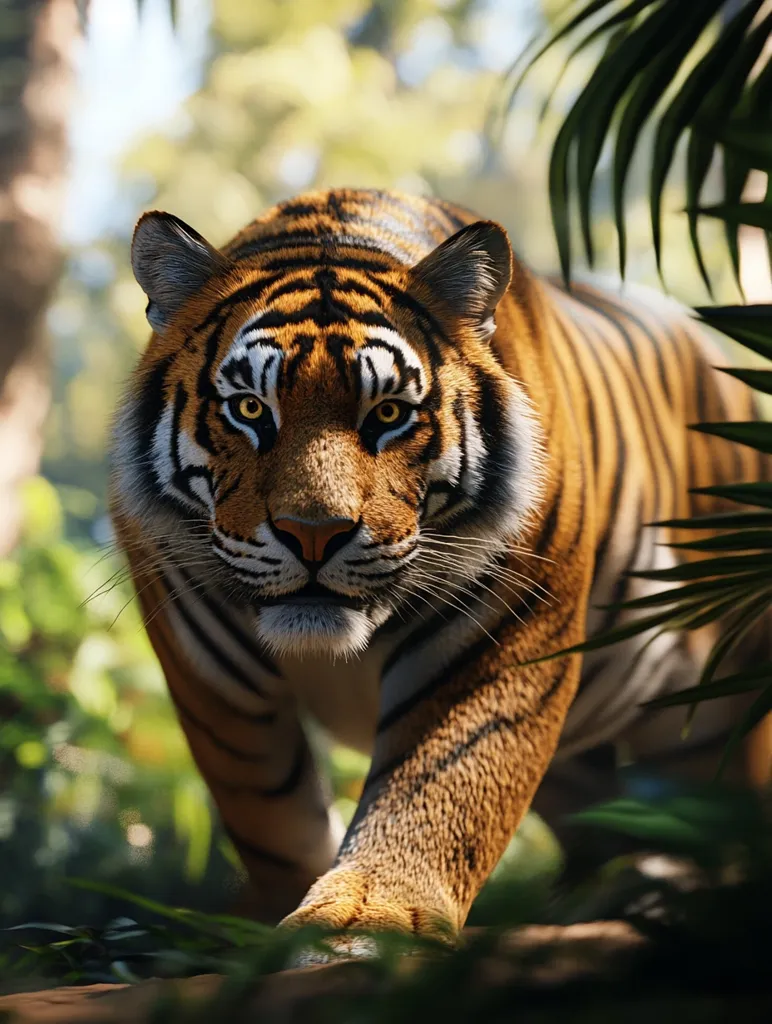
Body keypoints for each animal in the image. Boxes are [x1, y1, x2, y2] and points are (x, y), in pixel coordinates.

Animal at [110, 187, 770, 941]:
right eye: (250, 408)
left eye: (388, 414)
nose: (314, 535)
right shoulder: (210, 676)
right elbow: (271, 814)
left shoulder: (498, 641)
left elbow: (435, 795)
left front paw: (366, 923)